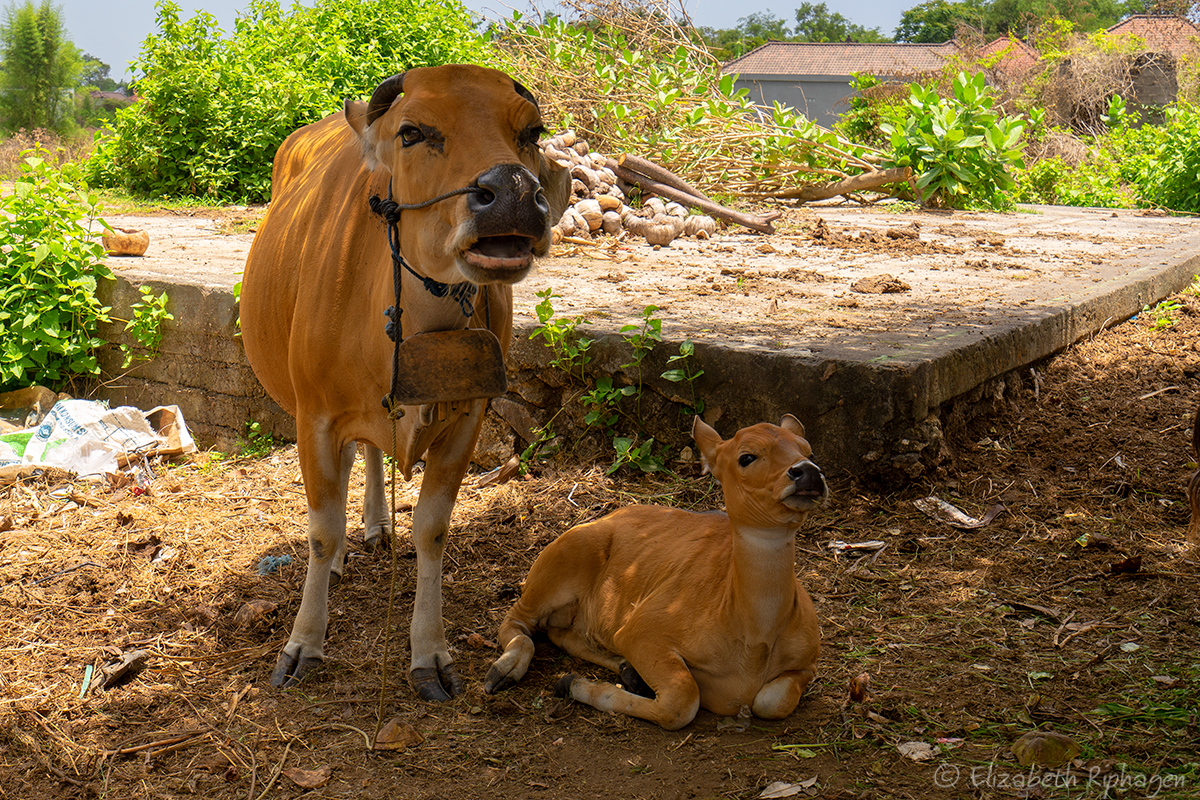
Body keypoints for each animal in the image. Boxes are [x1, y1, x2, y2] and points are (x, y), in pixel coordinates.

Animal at [241, 64, 568, 700]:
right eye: (412, 132)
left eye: (532, 132)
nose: (514, 194)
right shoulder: (315, 419)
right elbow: (320, 530)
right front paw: (303, 643)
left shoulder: (468, 419)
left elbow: (432, 530)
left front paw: (428, 653)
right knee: (351, 467)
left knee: (371, 451)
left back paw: (375, 524)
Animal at [484, 417, 825, 729]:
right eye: (747, 456)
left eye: (808, 450)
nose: (808, 471)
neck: (753, 639)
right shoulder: (641, 631)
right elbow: (682, 702)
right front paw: (572, 683)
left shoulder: (808, 663)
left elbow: (771, 701)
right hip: (564, 555)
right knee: (517, 621)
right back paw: (503, 671)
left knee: (560, 634)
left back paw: (628, 670)